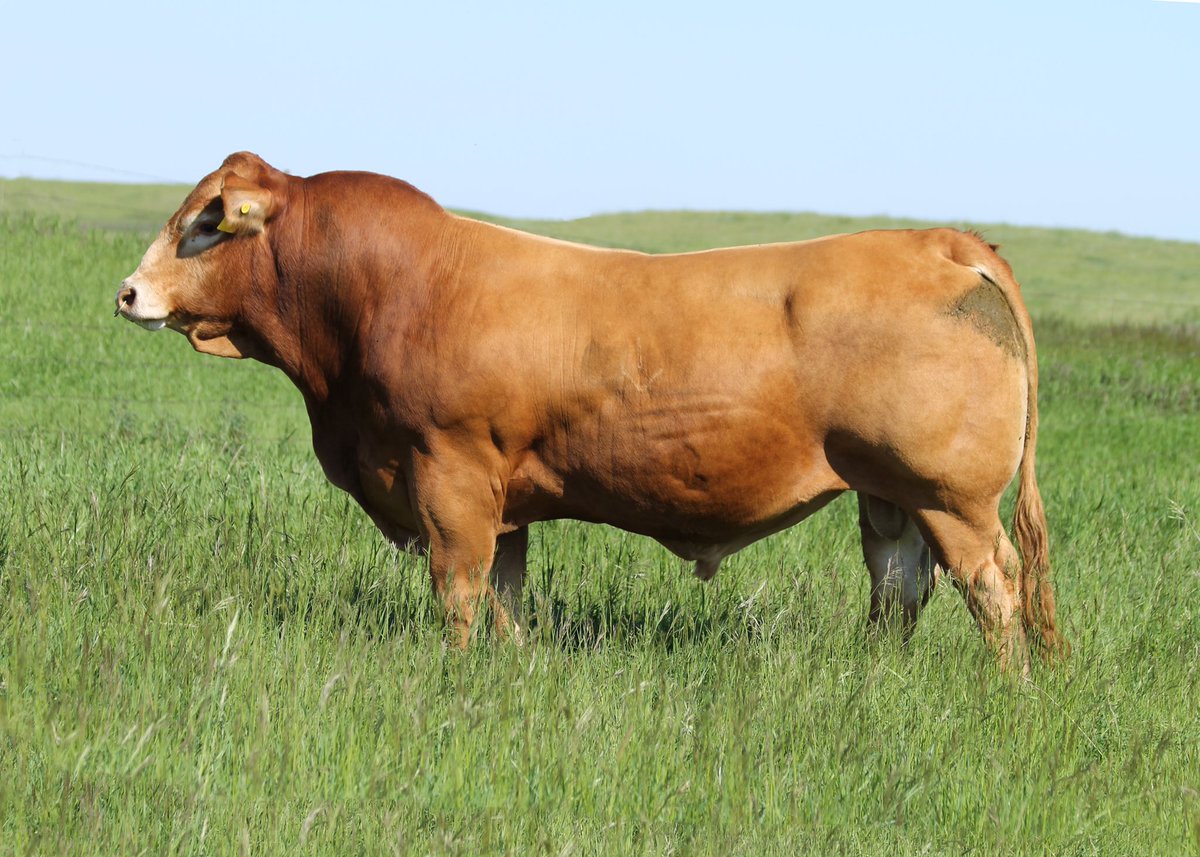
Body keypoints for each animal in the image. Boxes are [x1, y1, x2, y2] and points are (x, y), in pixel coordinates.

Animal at [116, 152, 1065, 669]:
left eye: (207, 222)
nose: (128, 292)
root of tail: (941, 240)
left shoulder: (449, 473)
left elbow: (459, 590)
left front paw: (454, 672)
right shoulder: (502, 500)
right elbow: (505, 594)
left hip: (953, 498)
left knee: (995, 590)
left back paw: (1009, 692)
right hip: (890, 495)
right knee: (900, 584)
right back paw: (874, 678)